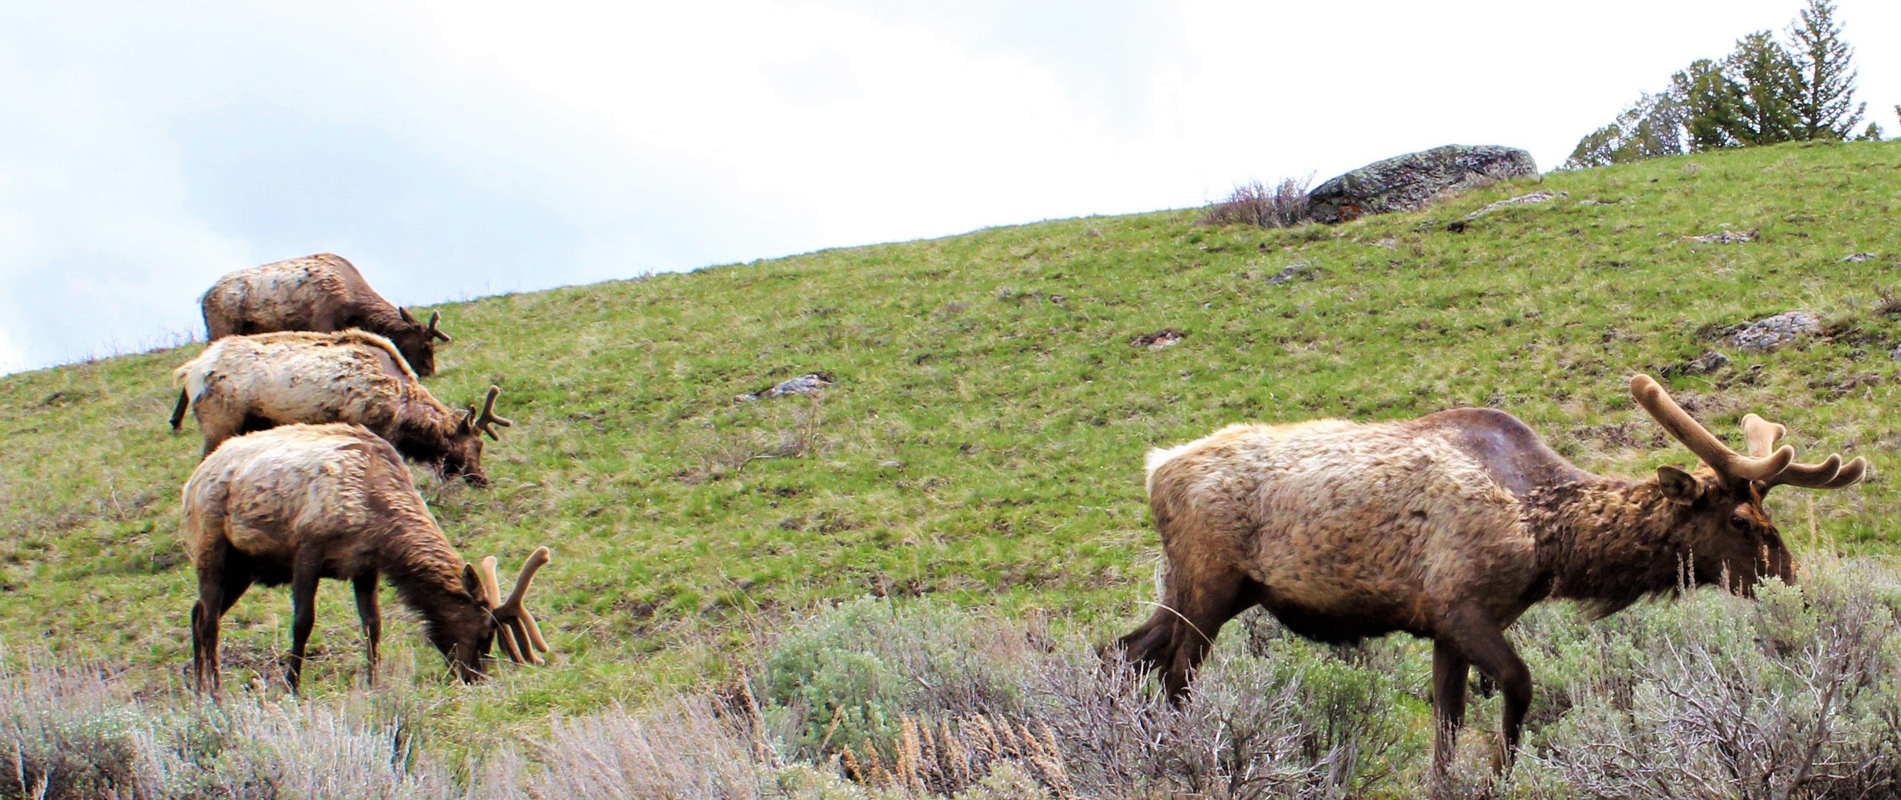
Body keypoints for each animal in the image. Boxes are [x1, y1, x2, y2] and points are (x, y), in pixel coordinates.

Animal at [182, 419, 555, 687]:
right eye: (484, 633)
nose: (474, 677)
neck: (377, 521)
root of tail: (192, 480)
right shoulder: (308, 547)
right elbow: (303, 622)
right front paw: (291, 686)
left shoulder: (364, 566)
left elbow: (372, 624)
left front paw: (375, 683)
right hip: (210, 547)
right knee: (211, 619)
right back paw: (214, 689)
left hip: (244, 567)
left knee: (197, 611)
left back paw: (199, 687)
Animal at [1117, 376, 1862, 771]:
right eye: (1740, 521)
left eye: (1768, 514)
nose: (1793, 584)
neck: (1550, 543)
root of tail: (1155, 468)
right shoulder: (1460, 606)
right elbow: (1519, 687)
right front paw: (1504, 770)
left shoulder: (1443, 630)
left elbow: (1445, 733)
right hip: (1208, 584)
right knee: (1175, 674)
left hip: (1190, 586)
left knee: (1126, 650)